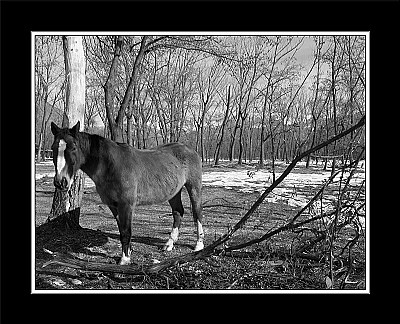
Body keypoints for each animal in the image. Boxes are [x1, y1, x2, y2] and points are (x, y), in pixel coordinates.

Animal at [50, 120, 205, 264]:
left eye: (73, 147)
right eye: (53, 148)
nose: (60, 182)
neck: (110, 165)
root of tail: (190, 150)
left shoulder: (126, 205)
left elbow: (126, 231)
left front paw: (124, 259)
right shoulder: (114, 206)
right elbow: (121, 230)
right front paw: (128, 252)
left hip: (194, 187)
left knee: (197, 212)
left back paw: (199, 245)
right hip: (174, 192)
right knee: (178, 212)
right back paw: (169, 244)